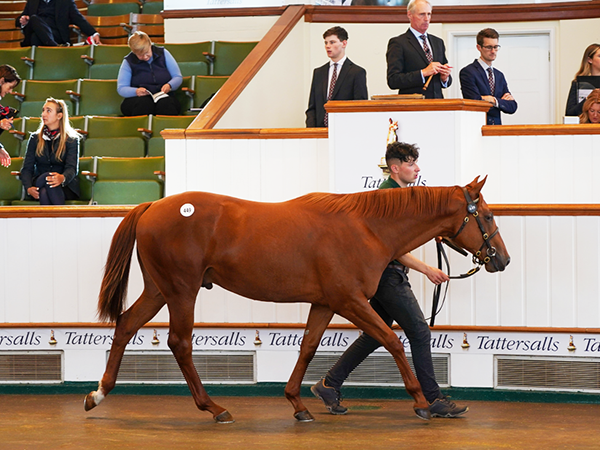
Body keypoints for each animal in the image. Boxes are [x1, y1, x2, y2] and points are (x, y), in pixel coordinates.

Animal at [83, 178, 506, 424]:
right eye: (486, 215)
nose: (502, 259)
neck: (366, 227)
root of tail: (152, 207)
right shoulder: (350, 300)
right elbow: (392, 341)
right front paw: (422, 401)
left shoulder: (326, 303)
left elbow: (308, 347)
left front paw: (299, 404)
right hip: (181, 291)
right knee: (179, 343)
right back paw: (215, 408)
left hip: (160, 290)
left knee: (126, 324)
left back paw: (98, 394)